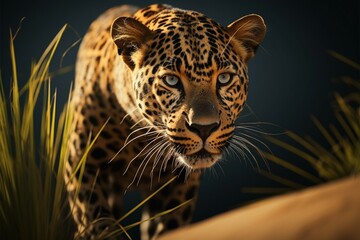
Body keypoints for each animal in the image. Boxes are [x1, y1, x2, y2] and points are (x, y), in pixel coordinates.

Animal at [64, 3, 264, 240]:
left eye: (224, 78)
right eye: (171, 80)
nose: (204, 128)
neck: (142, 138)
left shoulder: (181, 180)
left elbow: (170, 225)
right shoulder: (81, 162)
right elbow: (96, 220)